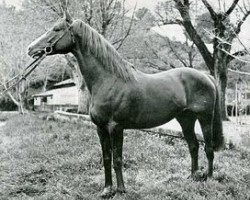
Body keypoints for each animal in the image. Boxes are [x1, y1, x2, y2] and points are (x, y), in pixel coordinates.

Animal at [27, 9, 225, 198]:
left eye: (56, 29)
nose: (31, 49)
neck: (108, 80)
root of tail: (207, 76)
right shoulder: (101, 128)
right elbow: (107, 158)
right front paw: (107, 190)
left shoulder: (116, 127)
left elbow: (117, 159)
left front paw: (121, 190)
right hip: (185, 119)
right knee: (193, 146)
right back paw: (192, 176)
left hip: (205, 118)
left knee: (208, 148)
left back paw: (209, 178)